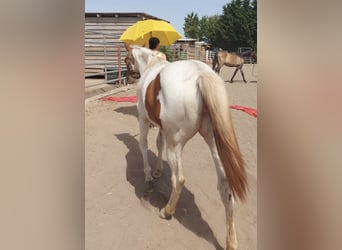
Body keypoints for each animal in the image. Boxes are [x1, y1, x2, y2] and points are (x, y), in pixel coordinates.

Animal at [124, 45, 247, 250]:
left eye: (126, 59)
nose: (130, 77)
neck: (151, 66)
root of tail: (200, 74)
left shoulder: (143, 119)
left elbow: (144, 144)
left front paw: (149, 176)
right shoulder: (163, 129)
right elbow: (159, 144)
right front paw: (158, 171)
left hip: (176, 145)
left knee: (179, 179)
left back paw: (167, 211)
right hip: (213, 142)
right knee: (225, 187)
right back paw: (231, 241)